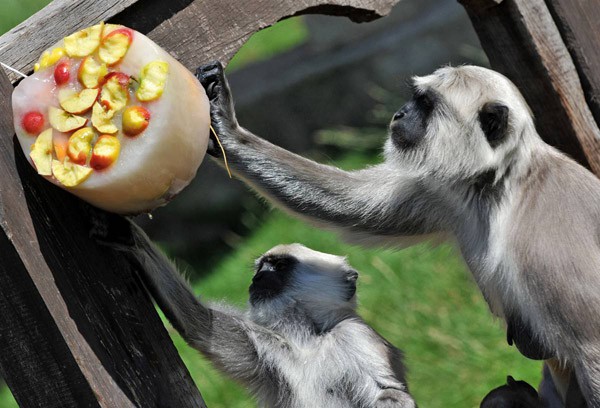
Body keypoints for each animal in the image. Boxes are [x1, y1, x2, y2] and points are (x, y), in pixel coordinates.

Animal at [129, 225, 414, 406]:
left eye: (280, 266)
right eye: (261, 267)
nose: (257, 278)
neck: (309, 341)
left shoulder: (354, 334)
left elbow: (389, 394)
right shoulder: (273, 348)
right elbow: (201, 325)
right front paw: (132, 238)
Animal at [197, 62, 600, 406]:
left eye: (424, 104)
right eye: (415, 100)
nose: (399, 114)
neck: (501, 184)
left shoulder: (543, 240)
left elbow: (591, 343)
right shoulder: (447, 193)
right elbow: (355, 206)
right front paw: (222, 121)